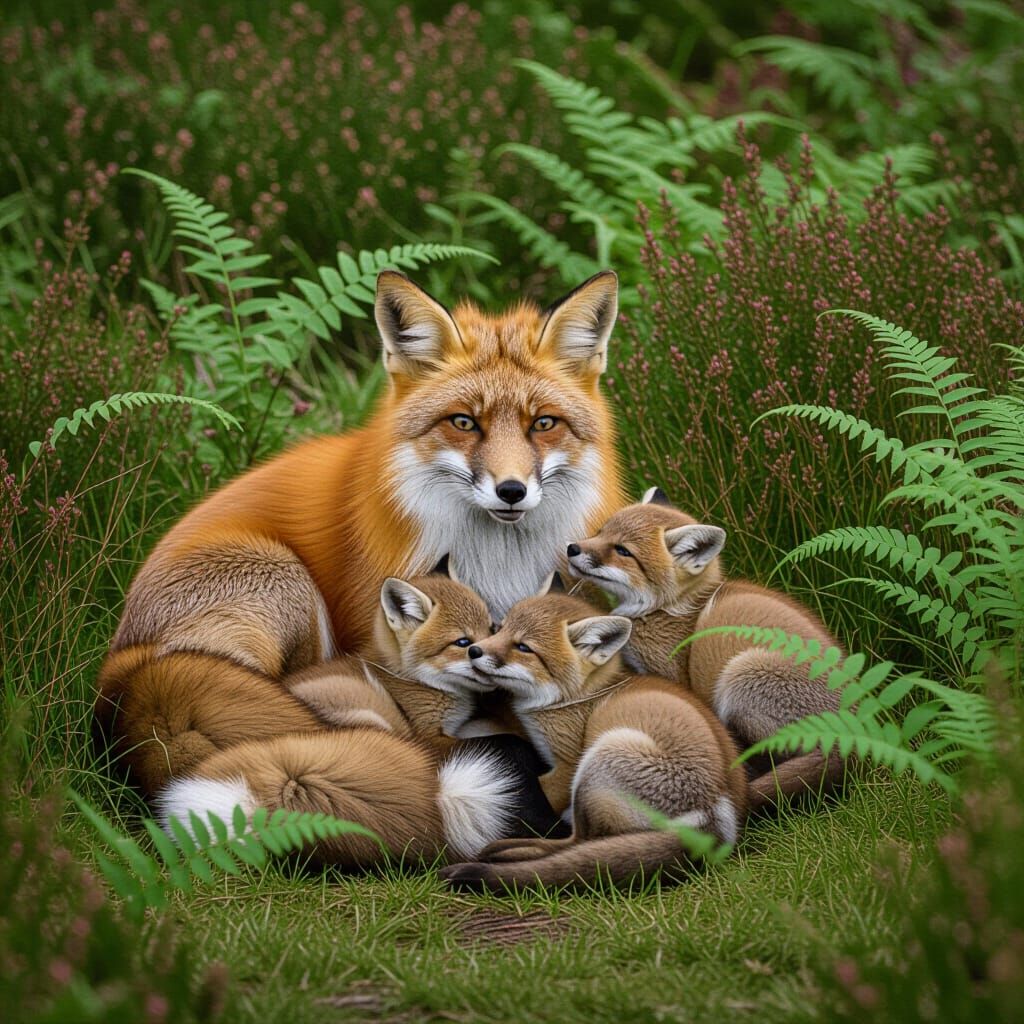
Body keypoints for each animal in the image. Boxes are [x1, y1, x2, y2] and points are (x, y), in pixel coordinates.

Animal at [95, 270, 625, 805]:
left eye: (543, 423)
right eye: (463, 422)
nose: (512, 491)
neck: (496, 566)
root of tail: (122, 658)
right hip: (285, 581)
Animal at [158, 570, 565, 865]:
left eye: (492, 630)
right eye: (464, 643)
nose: (488, 657)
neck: (415, 681)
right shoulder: (426, 734)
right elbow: (505, 740)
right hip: (373, 720)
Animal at [439, 590, 747, 891]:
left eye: (524, 647)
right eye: (498, 629)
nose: (474, 650)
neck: (576, 698)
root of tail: (717, 820)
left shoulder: (566, 764)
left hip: (600, 759)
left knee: (577, 842)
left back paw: (505, 853)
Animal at [565, 488, 845, 811]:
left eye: (622, 551)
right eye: (601, 532)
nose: (572, 548)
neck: (669, 610)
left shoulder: (673, 677)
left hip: (741, 676)